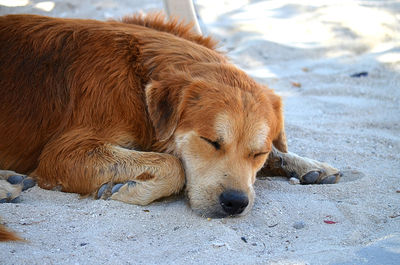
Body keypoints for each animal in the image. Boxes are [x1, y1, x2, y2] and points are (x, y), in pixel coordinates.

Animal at [0, 13, 340, 232]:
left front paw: (305, 164)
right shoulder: (63, 153)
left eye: (257, 153)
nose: (235, 203)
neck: (138, 82)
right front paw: (125, 189)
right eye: (211, 142)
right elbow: (174, 165)